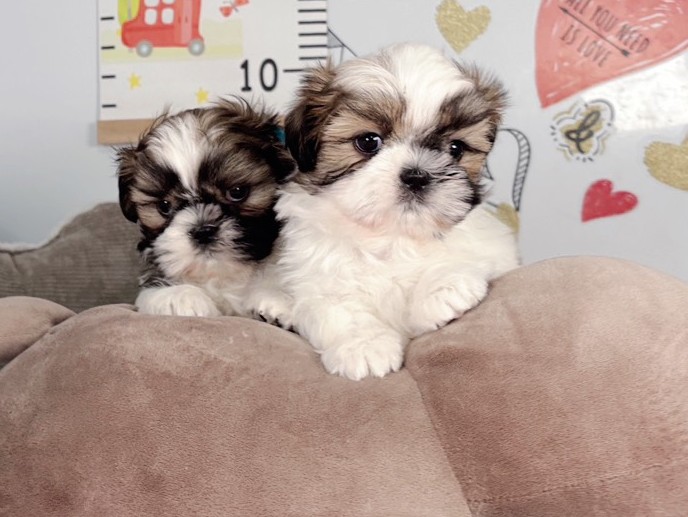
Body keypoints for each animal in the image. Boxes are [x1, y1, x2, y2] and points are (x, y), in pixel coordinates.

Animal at [117, 98, 294, 317]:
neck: (223, 276)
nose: (202, 231)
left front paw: (274, 297)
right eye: (164, 206)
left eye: (237, 191)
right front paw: (179, 297)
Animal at [260, 43, 520, 380]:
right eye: (368, 142)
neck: (392, 235)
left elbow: (466, 256)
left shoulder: (496, 248)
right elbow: (341, 309)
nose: (417, 175)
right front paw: (364, 346)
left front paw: (443, 288)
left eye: (456, 149)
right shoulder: (319, 276)